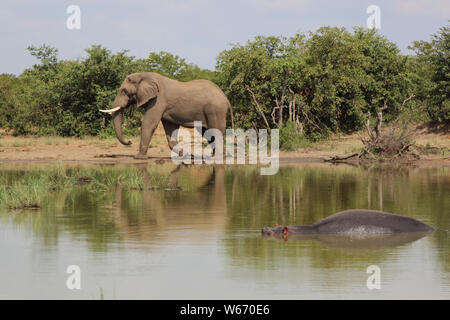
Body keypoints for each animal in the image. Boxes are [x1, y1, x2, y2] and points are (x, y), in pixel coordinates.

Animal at [100, 71, 234, 159]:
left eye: (124, 91)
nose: (129, 141)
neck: (145, 75)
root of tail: (226, 99)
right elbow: (170, 127)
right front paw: (184, 155)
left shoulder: (158, 100)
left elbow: (149, 123)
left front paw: (138, 157)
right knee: (207, 132)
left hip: (215, 111)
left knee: (215, 131)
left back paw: (217, 158)